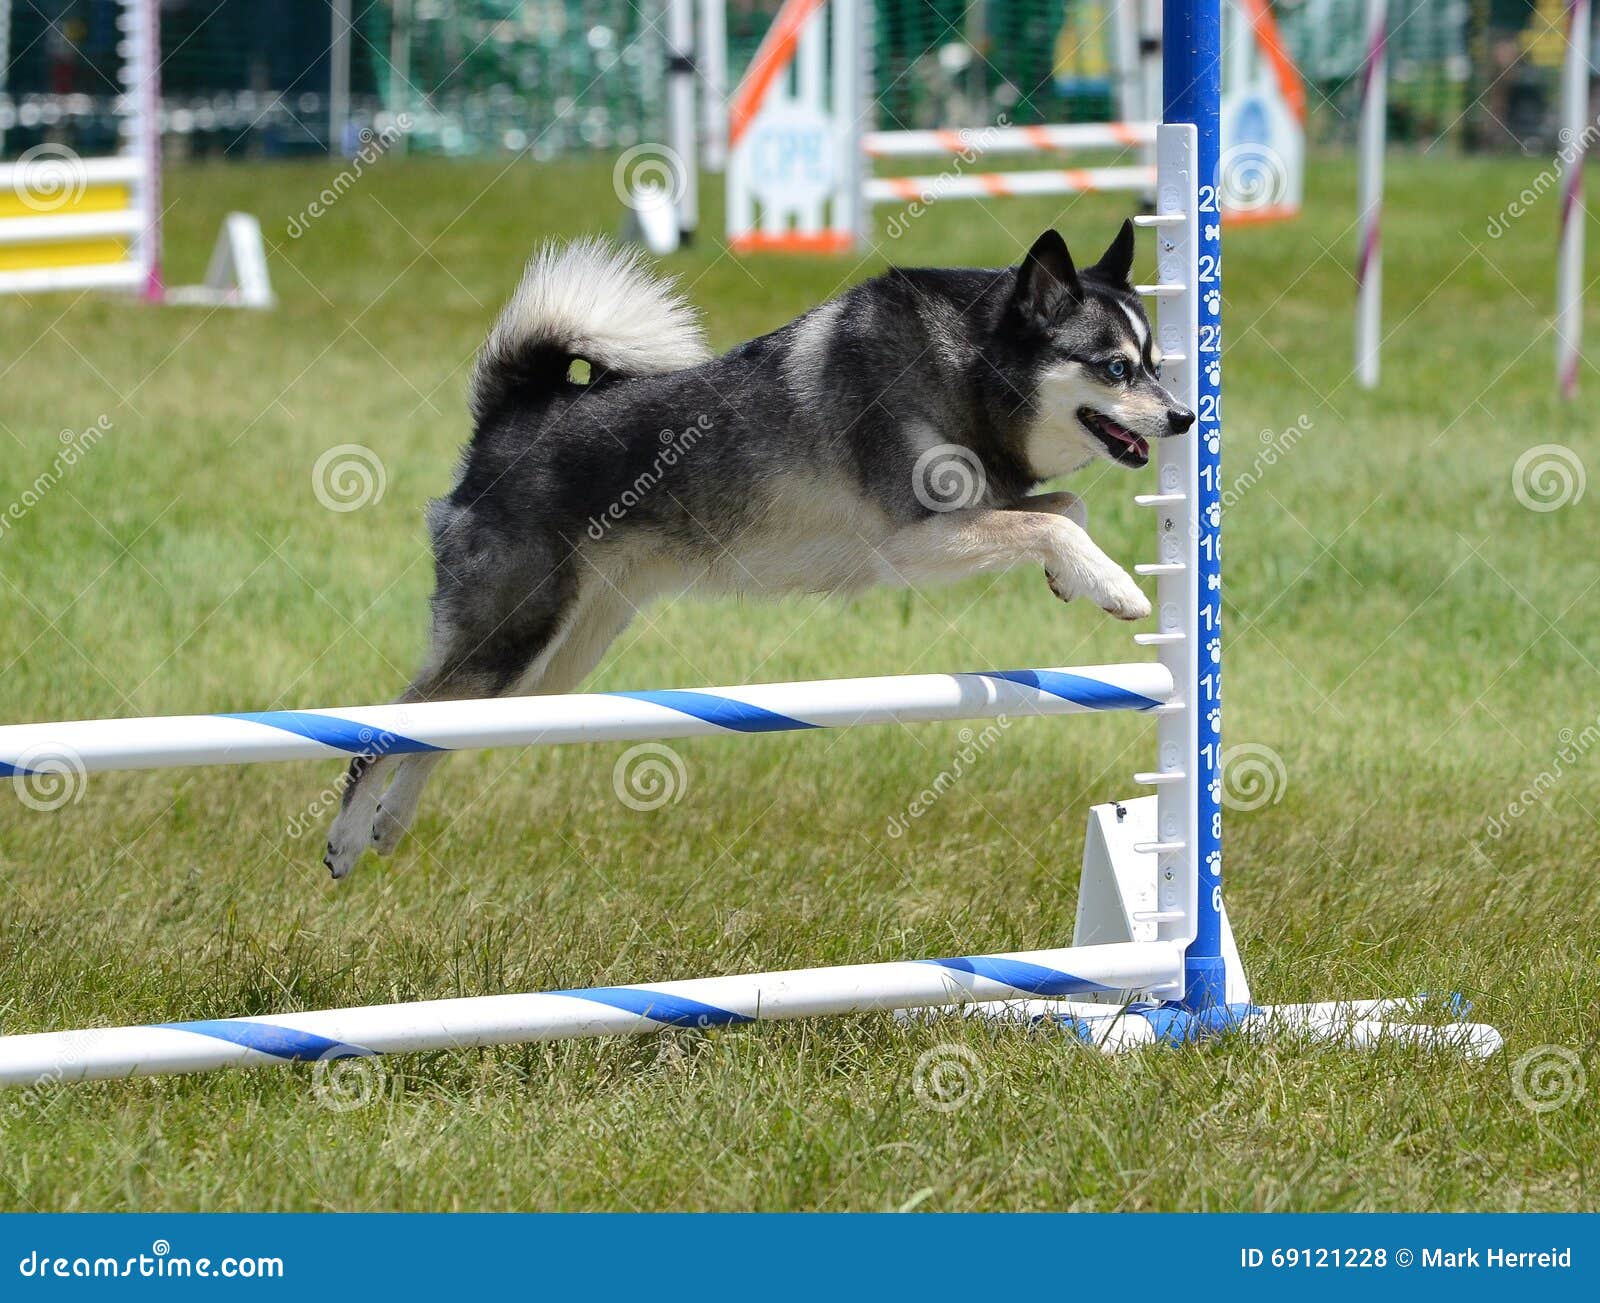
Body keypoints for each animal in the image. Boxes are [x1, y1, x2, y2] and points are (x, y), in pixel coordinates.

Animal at [321, 224, 1190, 883]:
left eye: (1157, 364)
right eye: (1116, 367)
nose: (1184, 417)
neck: (970, 367)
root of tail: (512, 413)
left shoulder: (972, 514)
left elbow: (1066, 509)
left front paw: (1074, 579)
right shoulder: (913, 540)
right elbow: (1057, 520)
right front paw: (1115, 585)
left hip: (555, 659)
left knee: (443, 728)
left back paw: (389, 824)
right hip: (511, 633)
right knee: (388, 725)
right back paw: (347, 838)